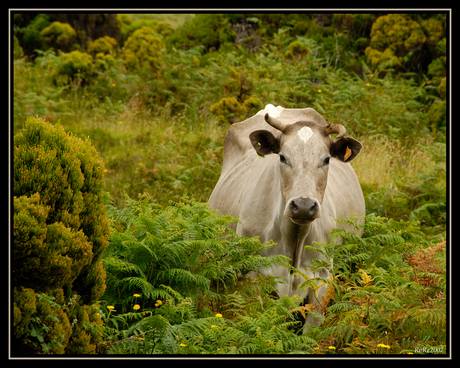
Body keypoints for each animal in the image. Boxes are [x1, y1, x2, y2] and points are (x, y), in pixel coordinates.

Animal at [209, 105, 366, 326]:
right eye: (282, 157)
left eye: (326, 159)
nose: (303, 205)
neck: (295, 240)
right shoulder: (253, 276)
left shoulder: (323, 278)